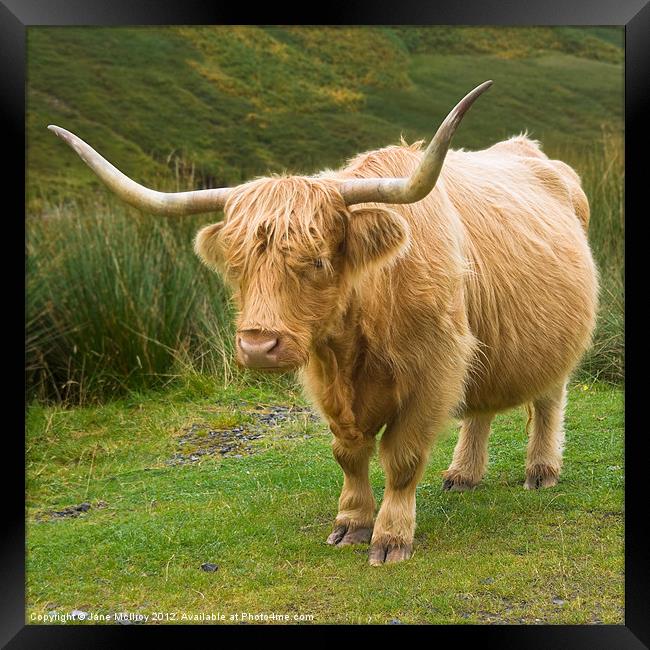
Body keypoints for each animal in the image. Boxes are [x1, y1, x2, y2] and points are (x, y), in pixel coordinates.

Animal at [49, 82, 596, 560]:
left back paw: (541, 470)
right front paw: (351, 523)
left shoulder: (434, 368)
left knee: (548, 398)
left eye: (316, 260)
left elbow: (401, 457)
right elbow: (348, 453)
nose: (257, 345)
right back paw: (462, 475)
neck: (357, 339)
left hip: (554, 342)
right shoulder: (324, 376)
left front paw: (390, 538)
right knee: (481, 406)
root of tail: (534, 152)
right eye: (237, 265)